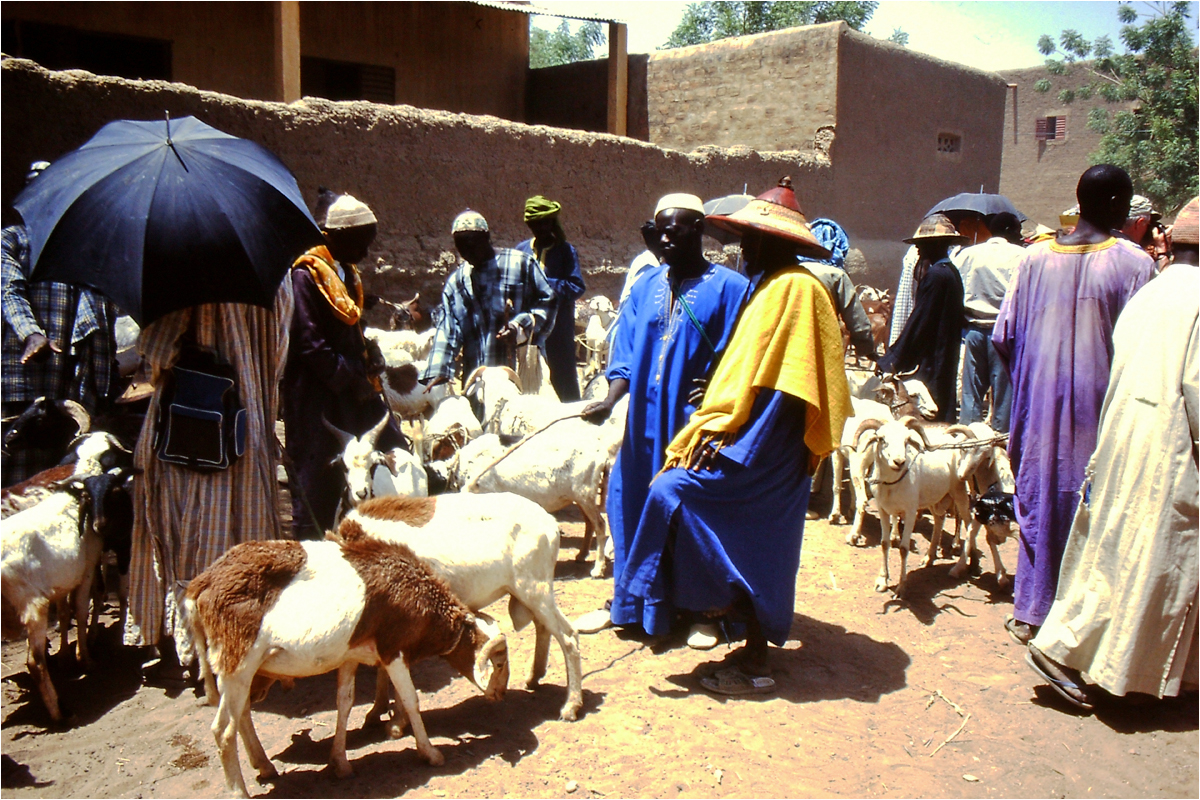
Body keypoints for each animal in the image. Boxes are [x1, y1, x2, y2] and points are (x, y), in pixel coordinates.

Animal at [188, 527, 511, 796]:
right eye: (498, 663)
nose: (500, 694)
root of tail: (201, 584)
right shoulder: (393, 651)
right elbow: (410, 699)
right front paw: (430, 753)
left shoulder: (350, 657)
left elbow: (345, 703)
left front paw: (340, 764)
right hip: (238, 665)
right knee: (223, 731)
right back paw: (240, 790)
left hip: (245, 672)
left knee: (242, 715)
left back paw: (265, 766)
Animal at [343, 494, 585, 724]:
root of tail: (549, 523)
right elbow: (382, 668)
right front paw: (376, 712)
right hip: (530, 595)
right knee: (544, 627)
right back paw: (534, 678)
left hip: (535, 590)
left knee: (568, 636)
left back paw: (571, 706)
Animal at [859, 419, 998, 594]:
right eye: (882, 439)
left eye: (906, 440)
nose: (899, 462)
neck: (892, 485)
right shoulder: (883, 510)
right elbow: (884, 544)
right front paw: (882, 581)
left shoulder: (910, 511)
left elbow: (903, 548)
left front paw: (901, 587)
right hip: (934, 498)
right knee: (939, 521)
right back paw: (929, 558)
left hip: (959, 492)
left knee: (969, 524)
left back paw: (971, 563)